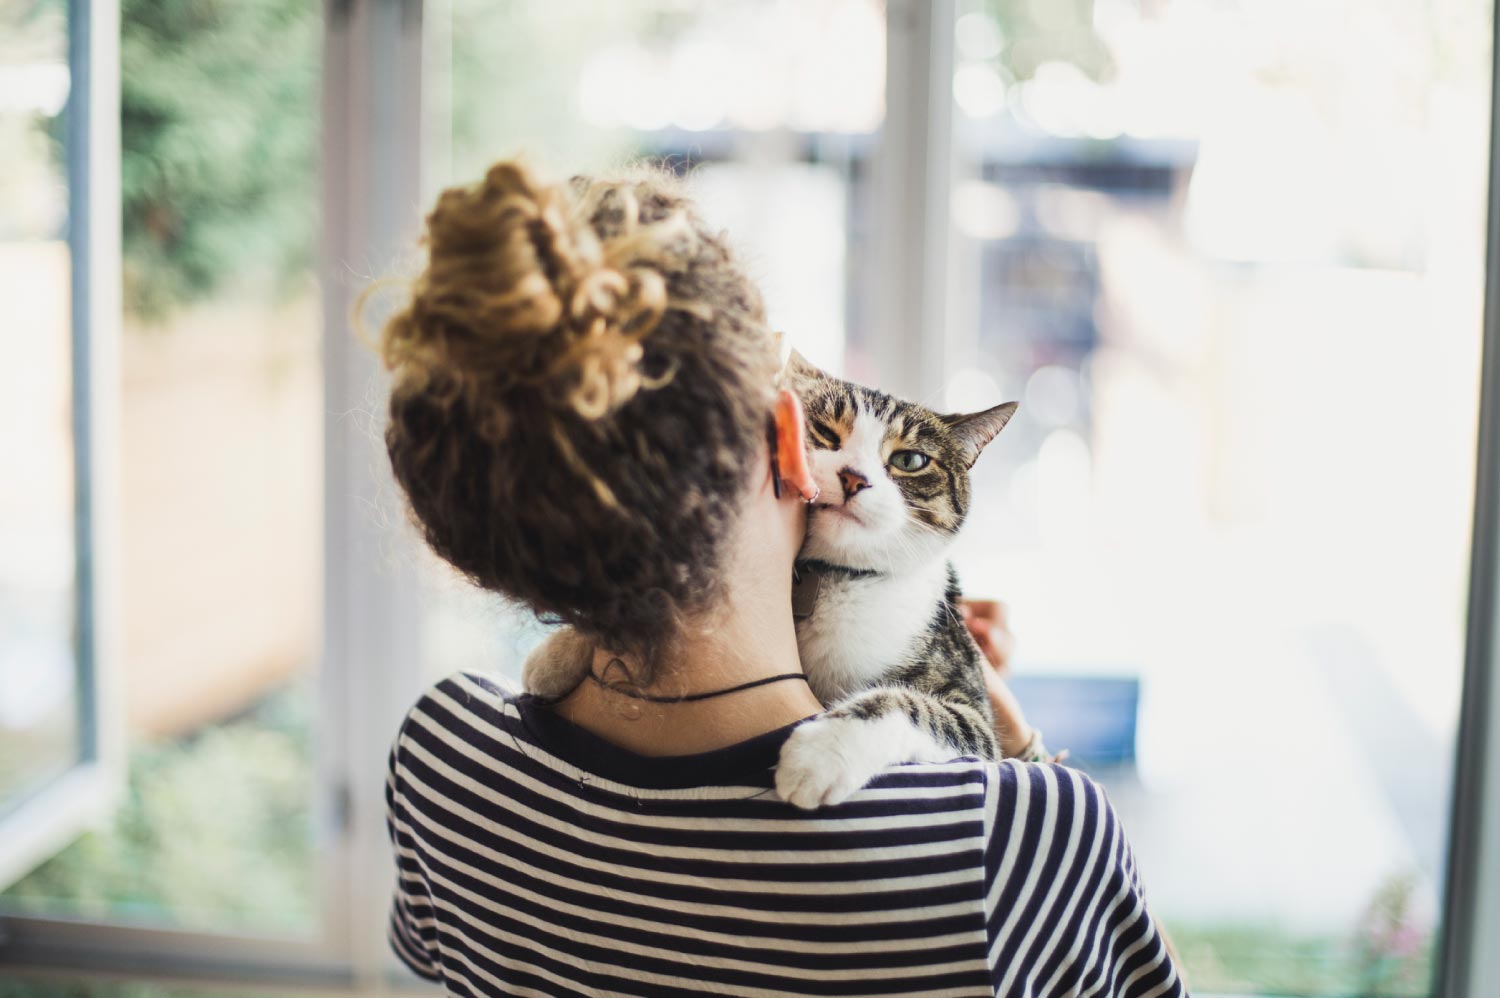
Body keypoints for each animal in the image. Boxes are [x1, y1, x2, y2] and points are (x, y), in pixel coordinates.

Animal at [525, 360, 1020, 810]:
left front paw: (821, 752)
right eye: (824, 431)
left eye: (910, 460)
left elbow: (912, 706)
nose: (853, 477)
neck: (832, 580)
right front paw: (557, 654)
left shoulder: (972, 711)